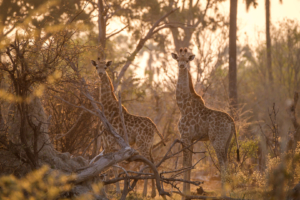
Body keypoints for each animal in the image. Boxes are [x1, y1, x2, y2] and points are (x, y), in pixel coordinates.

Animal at [91, 57, 166, 198]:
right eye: (97, 66)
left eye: (106, 67)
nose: (100, 73)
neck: (108, 110)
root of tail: (154, 126)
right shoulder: (105, 142)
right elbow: (106, 165)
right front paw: (106, 188)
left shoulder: (111, 141)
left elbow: (114, 165)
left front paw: (117, 190)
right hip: (148, 145)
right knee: (152, 162)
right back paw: (153, 192)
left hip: (143, 144)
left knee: (146, 162)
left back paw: (145, 192)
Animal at [171, 47, 239, 196]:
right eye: (178, 59)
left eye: (187, 59)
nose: (182, 66)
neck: (182, 106)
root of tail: (232, 122)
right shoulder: (190, 139)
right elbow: (189, 164)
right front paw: (187, 191)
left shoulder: (185, 136)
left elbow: (186, 164)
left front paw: (184, 193)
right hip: (227, 141)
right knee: (227, 162)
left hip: (217, 141)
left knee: (223, 164)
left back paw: (224, 193)